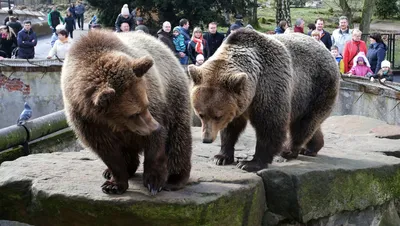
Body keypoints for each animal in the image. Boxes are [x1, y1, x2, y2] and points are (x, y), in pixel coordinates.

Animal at [61, 30, 193, 195]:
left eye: (146, 105)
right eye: (133, 113)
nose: (154, 127)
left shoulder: (154, 98)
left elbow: (156, 143)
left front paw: (154, 181)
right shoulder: (86, 120)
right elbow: (108, 152)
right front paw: (113, 184)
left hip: (174, 93)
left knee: (178, 137)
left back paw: (175, 178)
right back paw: (114, 171)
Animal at [189, 29, 340, 172]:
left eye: (217, 116)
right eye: (201, 114)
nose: (206, 139)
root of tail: (327, 51)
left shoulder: (269, 86)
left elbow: (270, 125)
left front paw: (250, 163)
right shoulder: (238, 103)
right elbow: (231, 128)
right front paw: (221, 157)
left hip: (316, 88)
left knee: (304, 124)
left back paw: (287, 151)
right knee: (311, 125)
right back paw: (311, 148)